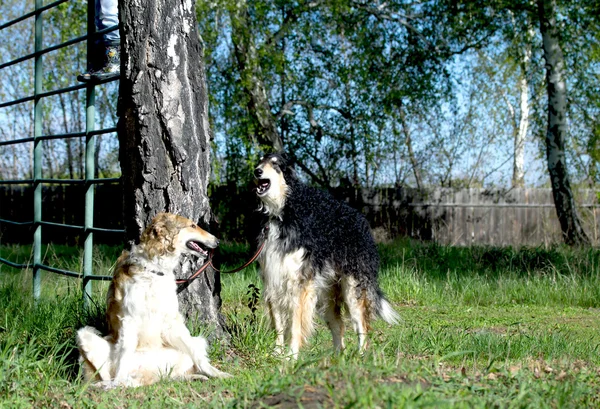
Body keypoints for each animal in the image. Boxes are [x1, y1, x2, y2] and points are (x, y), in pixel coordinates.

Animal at [76, 212, 231, 388]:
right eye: (192, 226)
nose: (217, 241)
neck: (154, 269)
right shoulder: (129, 319)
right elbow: (124, 353)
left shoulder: (171, 320)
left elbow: (199, 358)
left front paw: (218, 373)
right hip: (85, 334)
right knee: (112, 378)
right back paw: (109, 385)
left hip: (195, 342)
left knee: (174, 372)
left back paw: (195, 377)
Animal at [253, 151, 398, 356]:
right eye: (260, 162)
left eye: (275, 164)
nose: (257, 171)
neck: (281, 214)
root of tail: (360, 218)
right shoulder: (273, 279)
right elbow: (279, 324)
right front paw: (277, 353)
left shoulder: (299, 284)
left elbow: (296, 325)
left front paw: (292, 355)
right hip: (327, 294)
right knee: (339, 327)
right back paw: (338, 357)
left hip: (352, 289)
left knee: (362, 325)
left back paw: (361, 355)